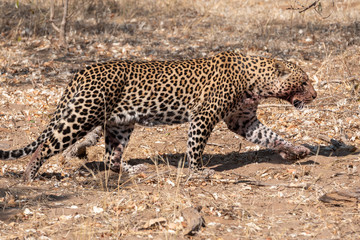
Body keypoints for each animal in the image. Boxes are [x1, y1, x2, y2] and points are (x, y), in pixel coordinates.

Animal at [0, 50, 316, 182]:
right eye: (303, 82)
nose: (314, 96)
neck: (256, 82)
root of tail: (83, 70)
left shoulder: (243, 120)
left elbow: (271, 136)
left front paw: (297, 150)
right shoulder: (203, 117)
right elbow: (195, 147)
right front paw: (198, 171)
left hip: (121, 124)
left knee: (111, 157)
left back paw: (133, 170)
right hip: (82, 115)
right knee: (46, 145)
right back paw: (29, 175)